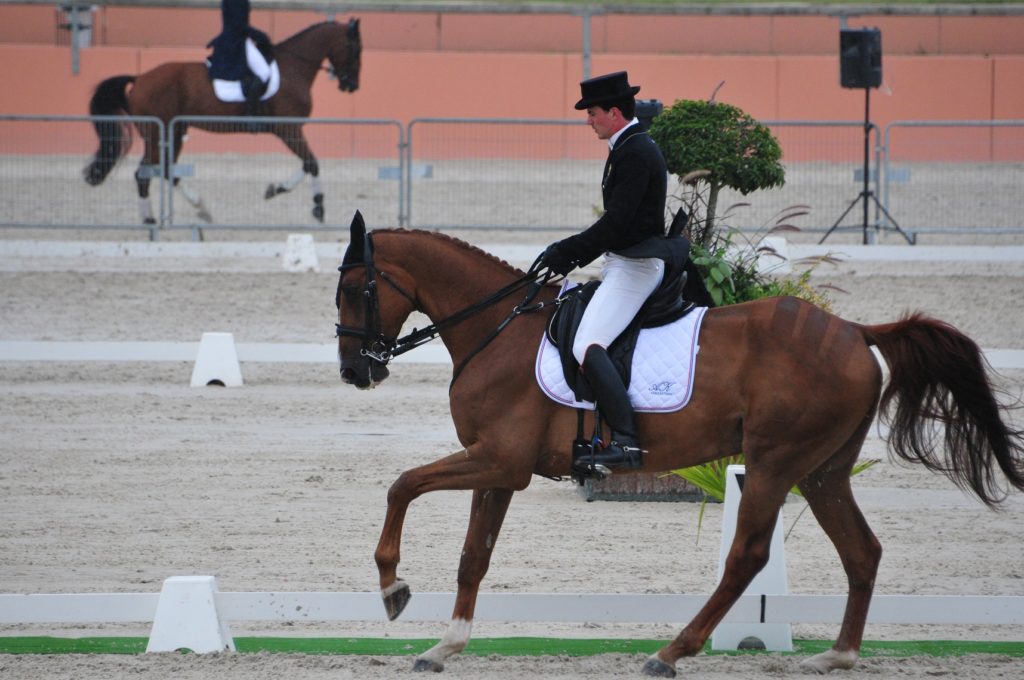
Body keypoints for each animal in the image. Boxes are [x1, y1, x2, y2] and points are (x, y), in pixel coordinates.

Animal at [84, 19, 364, 227]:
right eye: (356, 49)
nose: (351, 86)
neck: (293, 68)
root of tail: (140, 77)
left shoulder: (290, 130)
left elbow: (308, 164)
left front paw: (278, 190)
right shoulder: (288, 129)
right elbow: (311, 163)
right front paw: (315, 205)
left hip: (171, 132)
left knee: (154, 171)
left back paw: (155, 218)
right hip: (158, 132)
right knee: (152, 171)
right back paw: (191, 209)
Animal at [335, 213, 1024, 675]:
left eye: (353, 290)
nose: (354, 373)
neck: (497, 329)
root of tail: (855, 331)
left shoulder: (497, 459)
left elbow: (402, 486)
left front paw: (393, 589)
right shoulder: (500, 467)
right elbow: (473, 555)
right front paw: (445, 645)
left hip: (773, 464)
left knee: (748, 557)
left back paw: (671, 652)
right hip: (822, 470)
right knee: (863, 552)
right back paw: (837, 656)